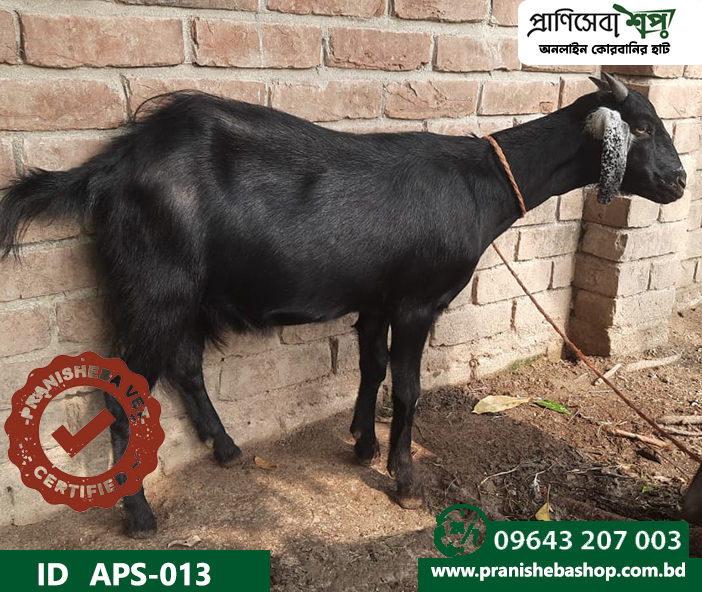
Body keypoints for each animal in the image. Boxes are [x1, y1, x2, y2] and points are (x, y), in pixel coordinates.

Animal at [0, 73, 688, 536]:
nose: (679, 182)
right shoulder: (415, 303)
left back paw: (225, 449)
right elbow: (406, 387)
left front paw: (360, 442)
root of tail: (112, 166)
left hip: (180, 294)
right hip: (155, 288)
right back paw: (140, 513)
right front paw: (403, 479)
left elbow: (371, 368)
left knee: (186, 366)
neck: (480, 184)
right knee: (121, 392)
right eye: (642, 126)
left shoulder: (376, 300)